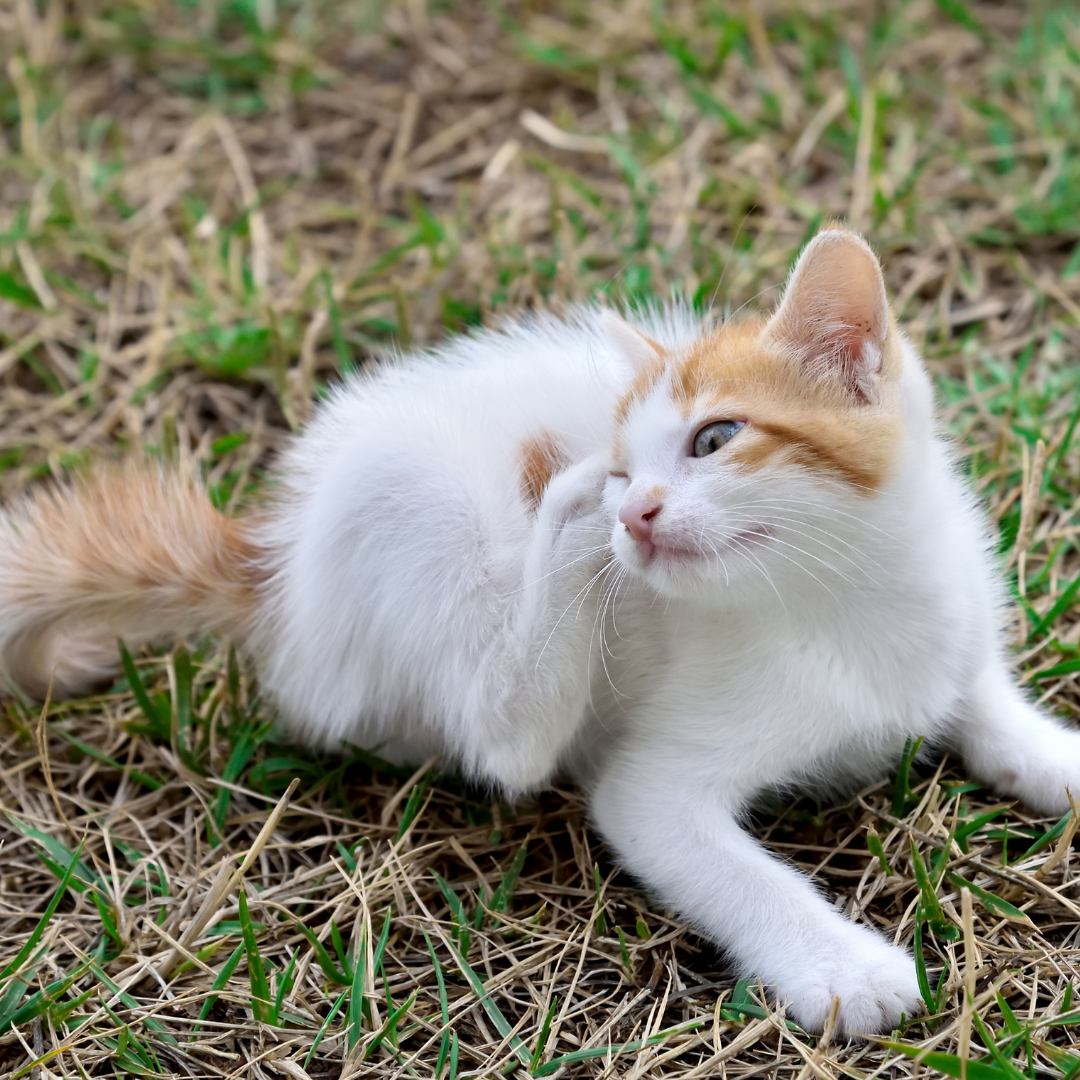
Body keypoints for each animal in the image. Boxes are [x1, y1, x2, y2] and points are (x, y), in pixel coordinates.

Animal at [4, 223, 1075, 1032]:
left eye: (717, 437)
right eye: (628, 459)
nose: (629, 506)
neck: (844, 600)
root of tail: (279, 568)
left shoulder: (952, 631)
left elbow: (985, 703)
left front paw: (1051, 756)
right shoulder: (654, 792)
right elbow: (723, 866)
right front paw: (842, 968)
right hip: (424, 524)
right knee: (506, 739)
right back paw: (562, 522)